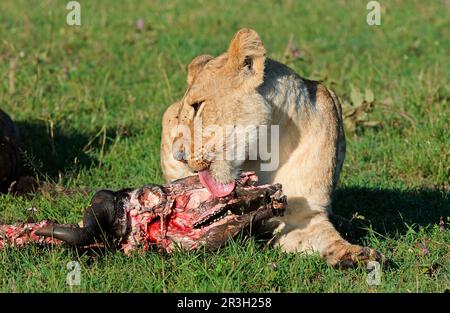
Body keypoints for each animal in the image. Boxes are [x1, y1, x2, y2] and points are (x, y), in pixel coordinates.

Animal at [160, 28, 382, 266]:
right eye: (182, 114)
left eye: (197, 106)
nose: (179, 155)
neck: (262, 152)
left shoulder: (302, 215)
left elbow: (328, 239)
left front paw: (358, 254)